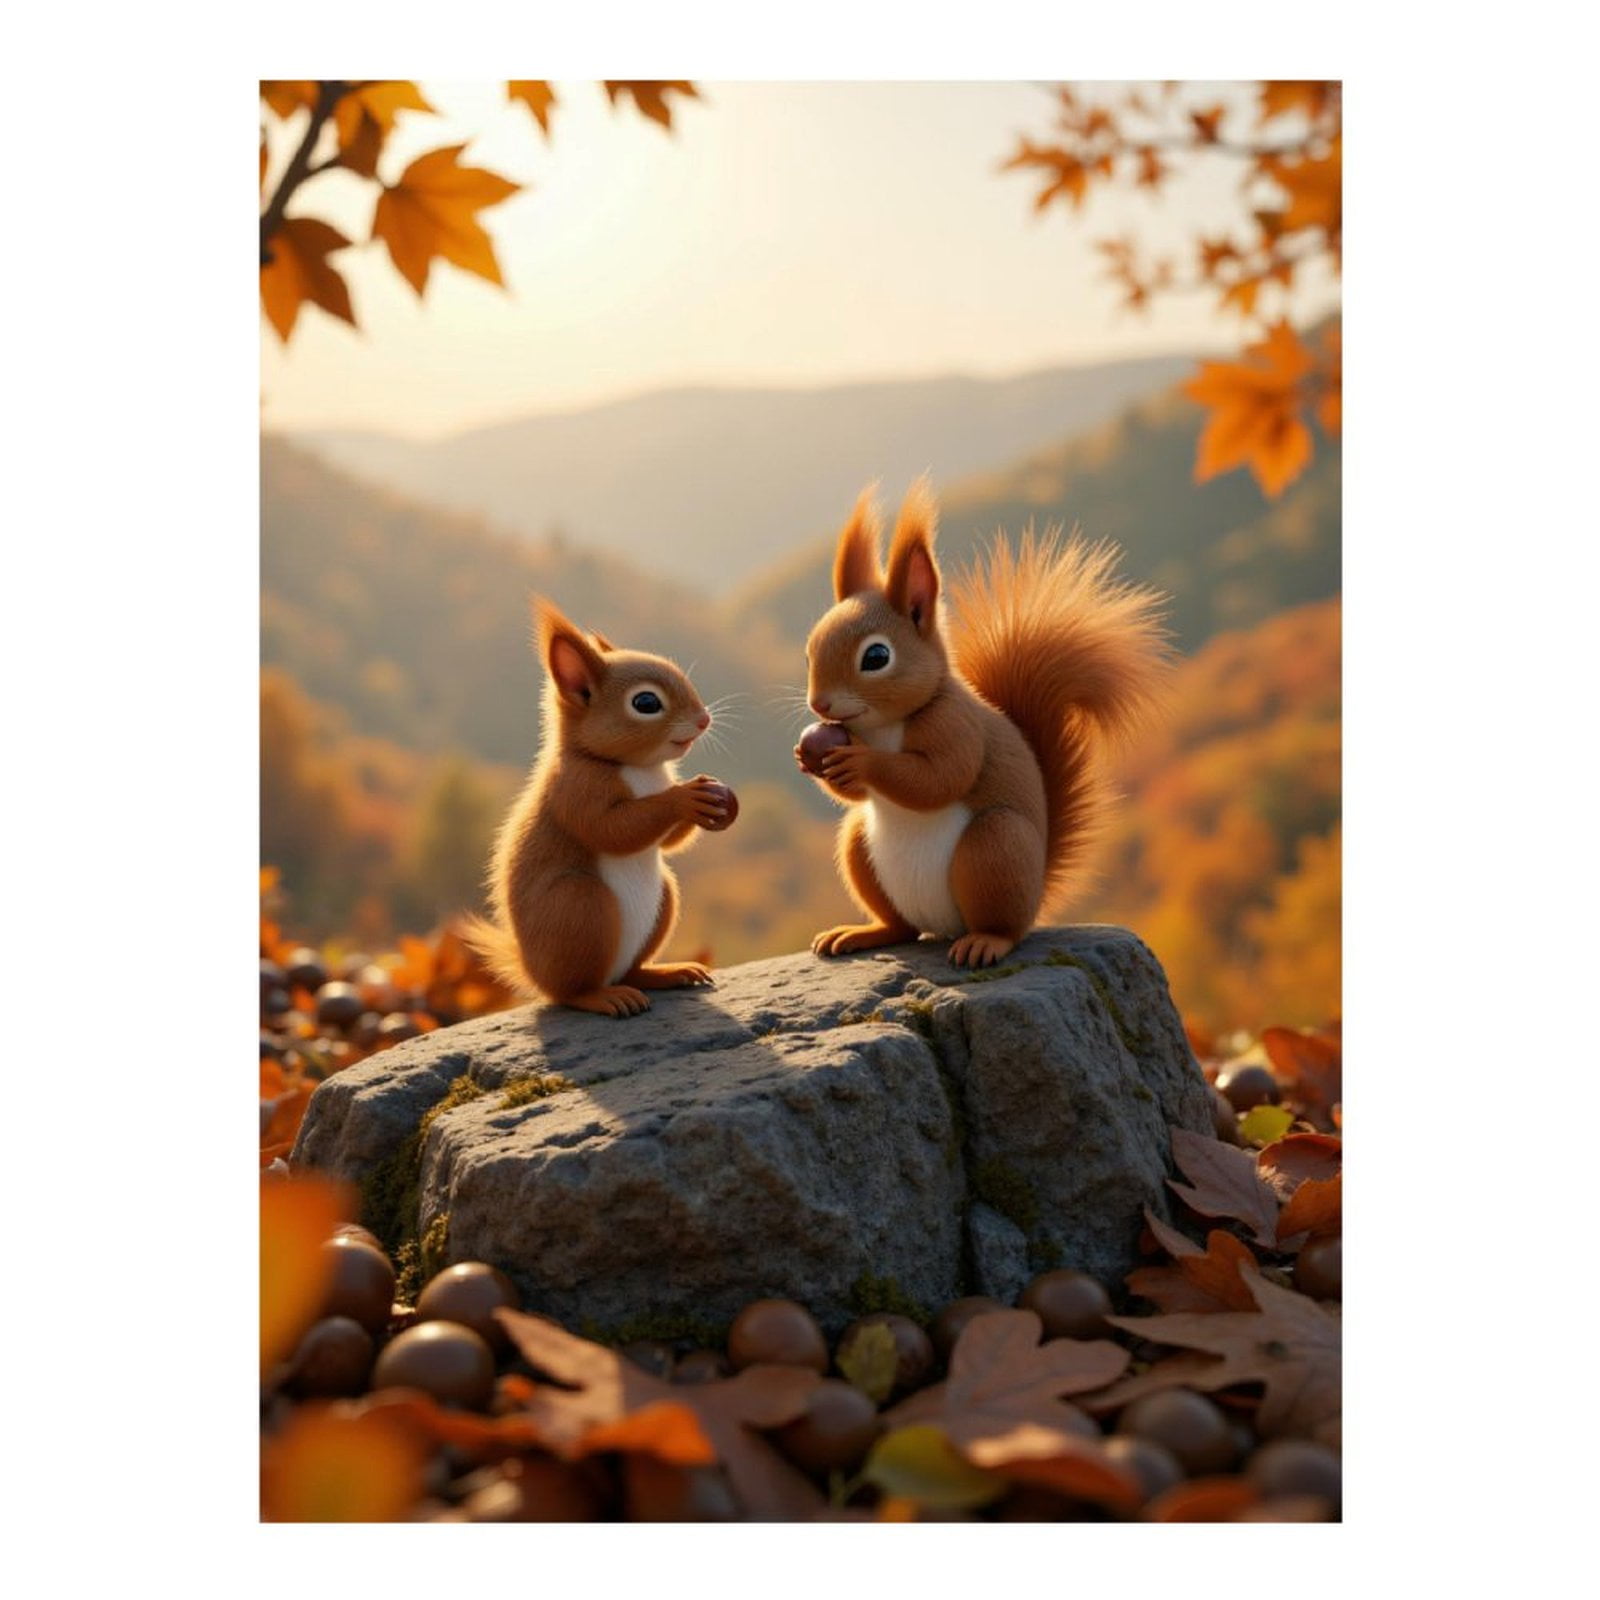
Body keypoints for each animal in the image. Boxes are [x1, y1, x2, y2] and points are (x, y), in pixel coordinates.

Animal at [463, 598, 734, 1017]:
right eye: (645, 702)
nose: (704, 719)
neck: (641, 769)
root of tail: (532, 974)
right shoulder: (577, 789)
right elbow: (613, 829)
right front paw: (684, 797)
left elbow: (666, 842)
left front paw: (706, 795)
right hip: (580, 908)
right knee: (572, 991)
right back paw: (605, 997)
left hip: (663, 899)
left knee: (632, 970)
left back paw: (666, 973)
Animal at [795, 479, 1170, 969]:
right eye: (810, 652)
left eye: (876, 657)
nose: (818, 704)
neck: (885, 727)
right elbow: (859, 796)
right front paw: (810, 759)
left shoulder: (954, 726)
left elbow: (938, 778)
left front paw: (861, 763)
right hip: (860, 846)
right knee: (901, 926)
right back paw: (864, 933)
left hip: (994, 850)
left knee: (1003, 925)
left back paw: (985, 943)